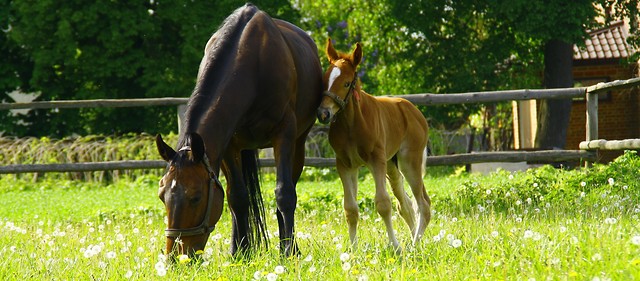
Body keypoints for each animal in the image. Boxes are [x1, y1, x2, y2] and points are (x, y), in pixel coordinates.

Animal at [154, 4, 322, 258]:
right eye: (162, 196)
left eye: (196, 197)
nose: (177, 256)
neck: (253, 64)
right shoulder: (227, 146)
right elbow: (237, 198)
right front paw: (239, 252)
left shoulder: (284, 135)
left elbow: (284, 194)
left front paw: (290, 251)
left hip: (298, 145)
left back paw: (286, 244)